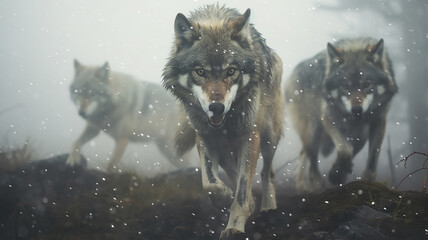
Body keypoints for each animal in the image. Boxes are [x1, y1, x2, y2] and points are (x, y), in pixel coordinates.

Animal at [162, 4, 282, 239]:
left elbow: (242, 189)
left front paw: (235, 226)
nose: (216, 107)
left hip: (270, 136)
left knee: (267, 172)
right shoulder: (205, 136)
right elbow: (211, 184)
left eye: (231, 71)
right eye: (200, 72)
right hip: (227, 146)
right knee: (232, 169)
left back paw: (268, 207)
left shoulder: (249, 135)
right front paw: (225, 197)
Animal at [284, 38, 398, 191]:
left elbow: (370, 163)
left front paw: (346, 176)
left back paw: (304, 186)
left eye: (367, 84)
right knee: (312, 165)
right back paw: (316, 187)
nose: (357, 110)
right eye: (344, 86)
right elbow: (345, 149)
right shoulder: (328, 118)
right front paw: (336, 175)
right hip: (314, 129)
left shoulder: (378, 122)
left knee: (304, 154)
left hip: (360, 133)